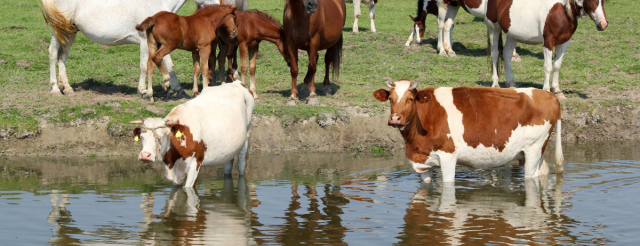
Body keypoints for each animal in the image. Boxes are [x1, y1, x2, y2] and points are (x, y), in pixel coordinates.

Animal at [40, 0, 220, 100]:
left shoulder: (162, 43)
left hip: (70, 31)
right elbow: (144, 66)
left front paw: (178, 90)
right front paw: (144, 91)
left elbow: (169, 64)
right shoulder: (144, 41)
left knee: (62, 56)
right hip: (59, 29)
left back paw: (67, 88)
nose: (219, 5)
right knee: (53, 53)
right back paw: (55, 89)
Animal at [372, 80, 564, 183]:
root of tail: (549, 95)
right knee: (543, 172)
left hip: (534, 148)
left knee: (532, 178)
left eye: (410, 99)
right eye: (390, 99)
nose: (395, 118)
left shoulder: (448, 157)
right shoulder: (423, 161)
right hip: (534, 152)